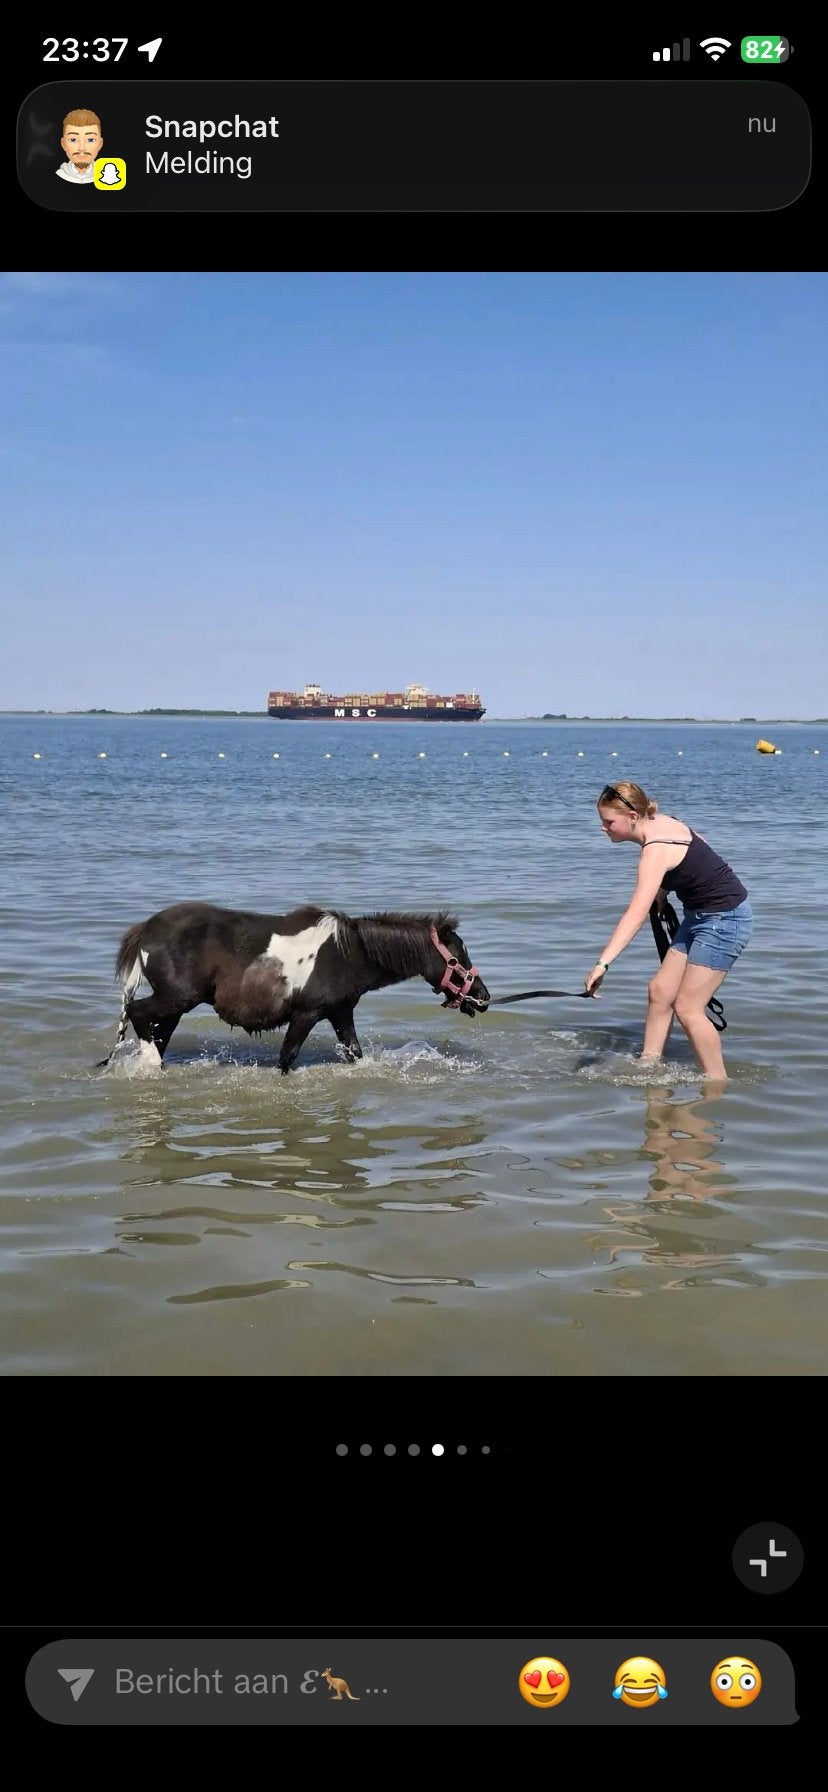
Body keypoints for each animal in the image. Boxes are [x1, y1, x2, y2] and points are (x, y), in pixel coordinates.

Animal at [100, 901, 490, 1074]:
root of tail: (147, 928)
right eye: (457, 958)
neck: (348, 952)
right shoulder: (306, 1014)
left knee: (156, 1032)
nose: (483, 998)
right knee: (137, 1013)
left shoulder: (340, 1013)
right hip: (177, 998)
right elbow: (287, 1058)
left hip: (175, 1006)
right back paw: (150, 1062)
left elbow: (354, 1053)